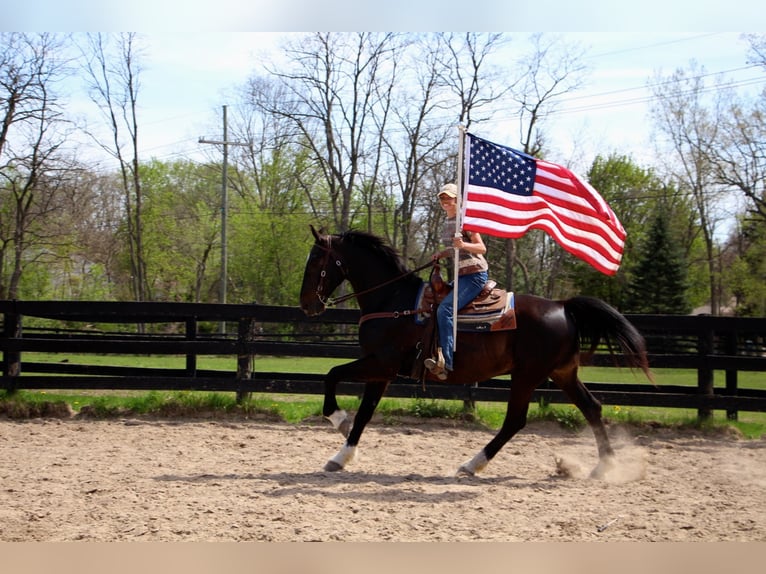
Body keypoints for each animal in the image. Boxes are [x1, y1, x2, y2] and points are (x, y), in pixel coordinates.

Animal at [300, 227, 656, 480]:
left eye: (316, 260)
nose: (307, 305)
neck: (393, 300)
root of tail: (563, 306)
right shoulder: (382, 373)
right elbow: (364, 413)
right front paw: (341, 456)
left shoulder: (380, 364)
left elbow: (332, 376)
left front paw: (338, 420)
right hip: (562, 373)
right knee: (591, 408)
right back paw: (603, 467)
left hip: (527, 375)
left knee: (515, 420)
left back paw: (472, 465)